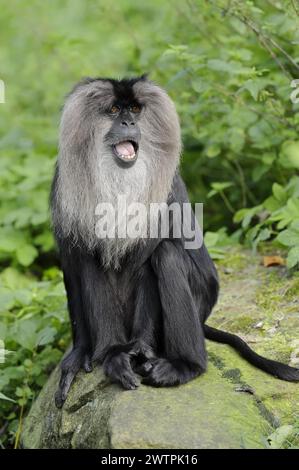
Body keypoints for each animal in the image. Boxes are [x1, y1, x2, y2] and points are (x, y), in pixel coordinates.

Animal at [51, 74, 299, 408]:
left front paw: (142, 351)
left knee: (166, 255)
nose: (129, 122)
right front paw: (81, 354)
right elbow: (75, 262)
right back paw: (113, 354)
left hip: (201, 299)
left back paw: (184, 365)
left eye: (135, 109)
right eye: (115, 109)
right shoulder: (64, 188)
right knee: (93, 259)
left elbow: (148, 258)